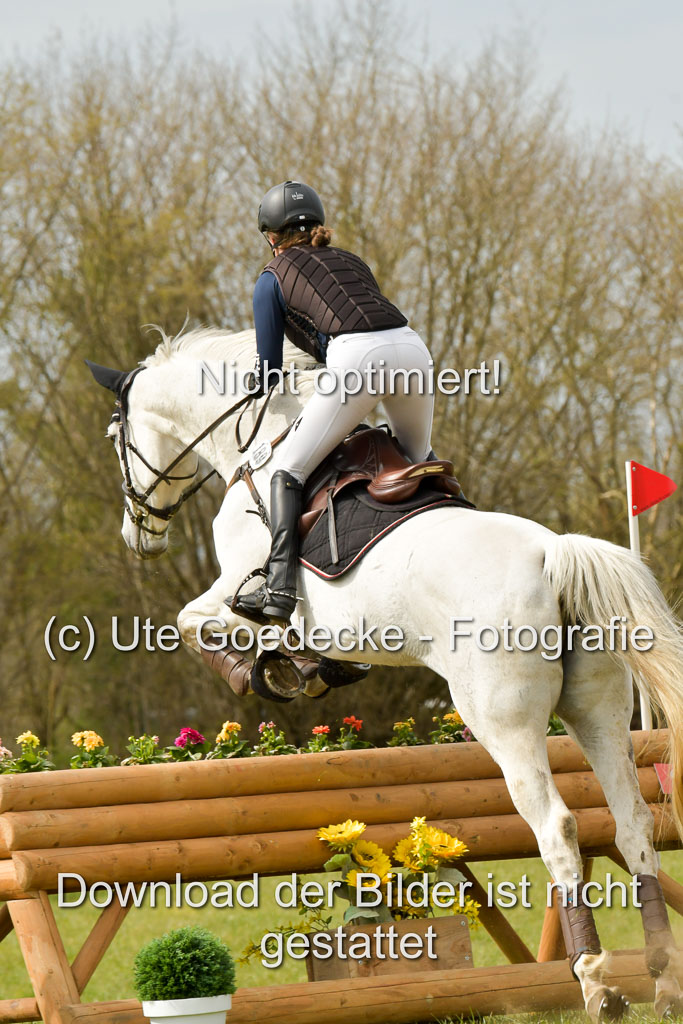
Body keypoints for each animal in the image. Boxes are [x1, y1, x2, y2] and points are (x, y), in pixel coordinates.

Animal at [89, 325, 683, 1015]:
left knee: (557, 826)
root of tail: (553, 553)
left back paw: (596, 982)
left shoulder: (237, 593)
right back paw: (662, 980)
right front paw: (310, 669)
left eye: (116, 436)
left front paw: (264, 670)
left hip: (503, 723)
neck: (261, 441)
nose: (139, 536)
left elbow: (196, 622)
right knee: (632, 821)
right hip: (599, 712)